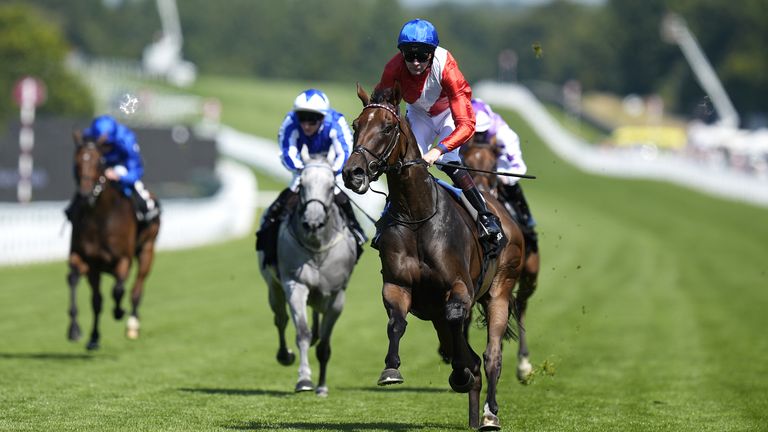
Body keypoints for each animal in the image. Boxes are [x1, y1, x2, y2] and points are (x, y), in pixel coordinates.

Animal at [67, 132, 160, 352]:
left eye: (98, 161)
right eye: (76, 161)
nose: (85, 194)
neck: (99, 218)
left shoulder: (123, 259)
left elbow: (118, 290)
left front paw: (119, 312)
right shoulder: (87, 261)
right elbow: (86, 291)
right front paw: (79, 332)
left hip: (147, 249)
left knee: (136, 289)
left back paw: (132, 324)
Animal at [344, 82, 528, 430]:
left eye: (387, 127)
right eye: (355, 126)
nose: (353, 173)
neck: (418, 216)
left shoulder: (458, 288)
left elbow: (458, 323)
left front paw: (461, 373)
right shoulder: (398, 285)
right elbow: (396, 322)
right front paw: (391, 369)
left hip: (500, 289)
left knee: (491, 356)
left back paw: (489, 413)